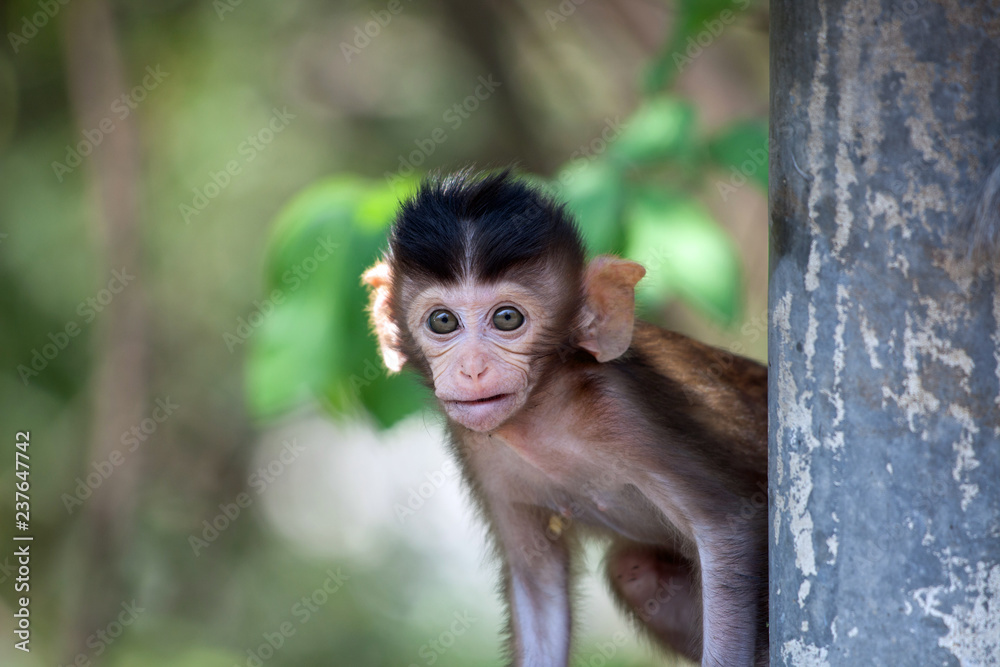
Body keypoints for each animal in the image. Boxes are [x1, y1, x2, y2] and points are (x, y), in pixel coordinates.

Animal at [363, 170, 768, 667]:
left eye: (507, 318)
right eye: (442, 322)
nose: (472, 369)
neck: (542, 416)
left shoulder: (625, 414)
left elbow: (727, 526)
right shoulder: (475, 447)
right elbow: (538, 585)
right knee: (633, 569)